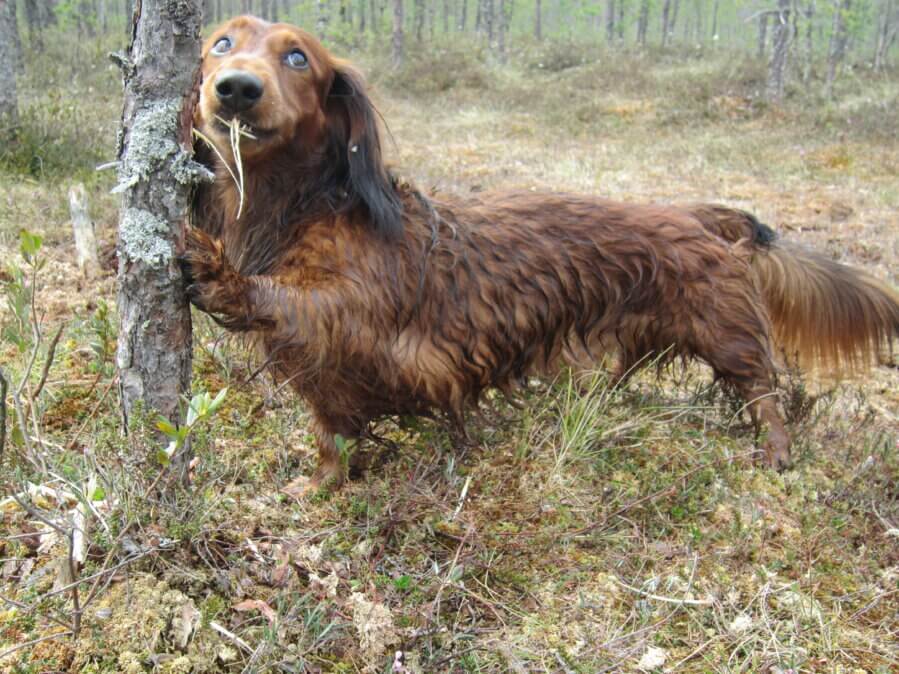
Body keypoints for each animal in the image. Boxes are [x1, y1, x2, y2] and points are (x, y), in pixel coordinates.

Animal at [179, 13, 896, 490]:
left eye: (298, 58)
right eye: (220, 44)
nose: (236, 88)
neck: (300, 205)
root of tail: (699, 215)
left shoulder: (363, 315)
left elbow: (291, 304)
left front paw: (217, 271)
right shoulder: (331, 383)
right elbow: (332, 430)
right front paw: (323, 483)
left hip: (727, 334)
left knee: (763, 392)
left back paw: (774, 454)